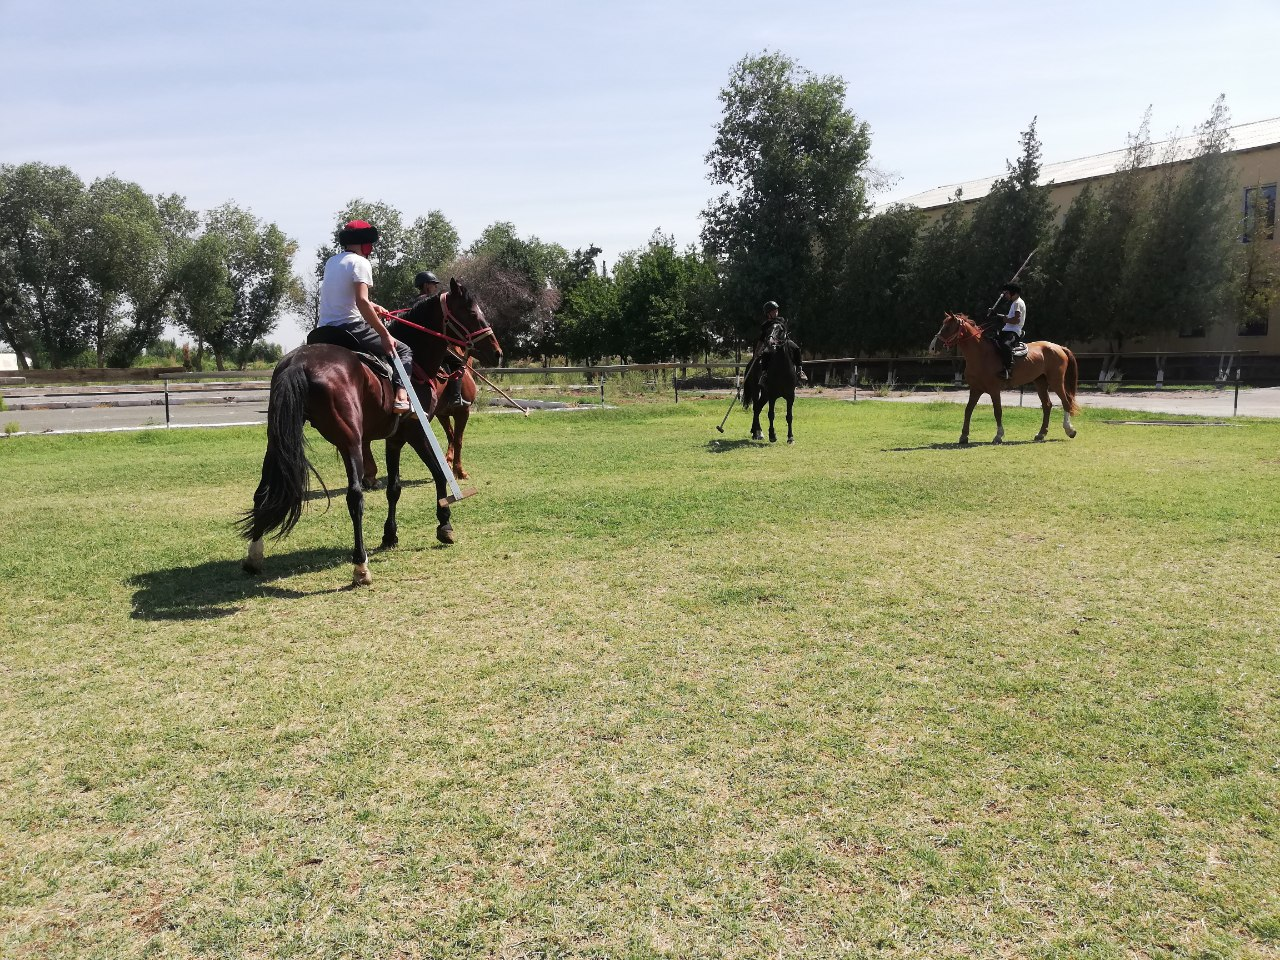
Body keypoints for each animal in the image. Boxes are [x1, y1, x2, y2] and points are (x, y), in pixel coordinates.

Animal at [240, 277, 499, 586]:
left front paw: (390, 535)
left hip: (278, 439)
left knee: (262, 492)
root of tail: (299, 363)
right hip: (350, 441)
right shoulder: (416, 431)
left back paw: (254, 556)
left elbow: (394, 488)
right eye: (471, 313)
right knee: (355, 497)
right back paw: (360, 566)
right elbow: (438, 474)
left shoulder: (394, 438)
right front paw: (444, 524)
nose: (497, 353)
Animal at [931, 316, 1080, 450]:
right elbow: (968, 410)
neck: (981, 355)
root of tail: (1059, 347)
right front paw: (964, 436)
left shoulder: (994, 390)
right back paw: (1041, 434)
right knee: (1047, 405)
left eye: (948, 327)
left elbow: (998, 411)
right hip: (1040, 383)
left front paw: (998, 436)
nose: (932, 347)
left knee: (1066, 403)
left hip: (1056, 382)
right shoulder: (975, 389)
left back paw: (1070, 430)